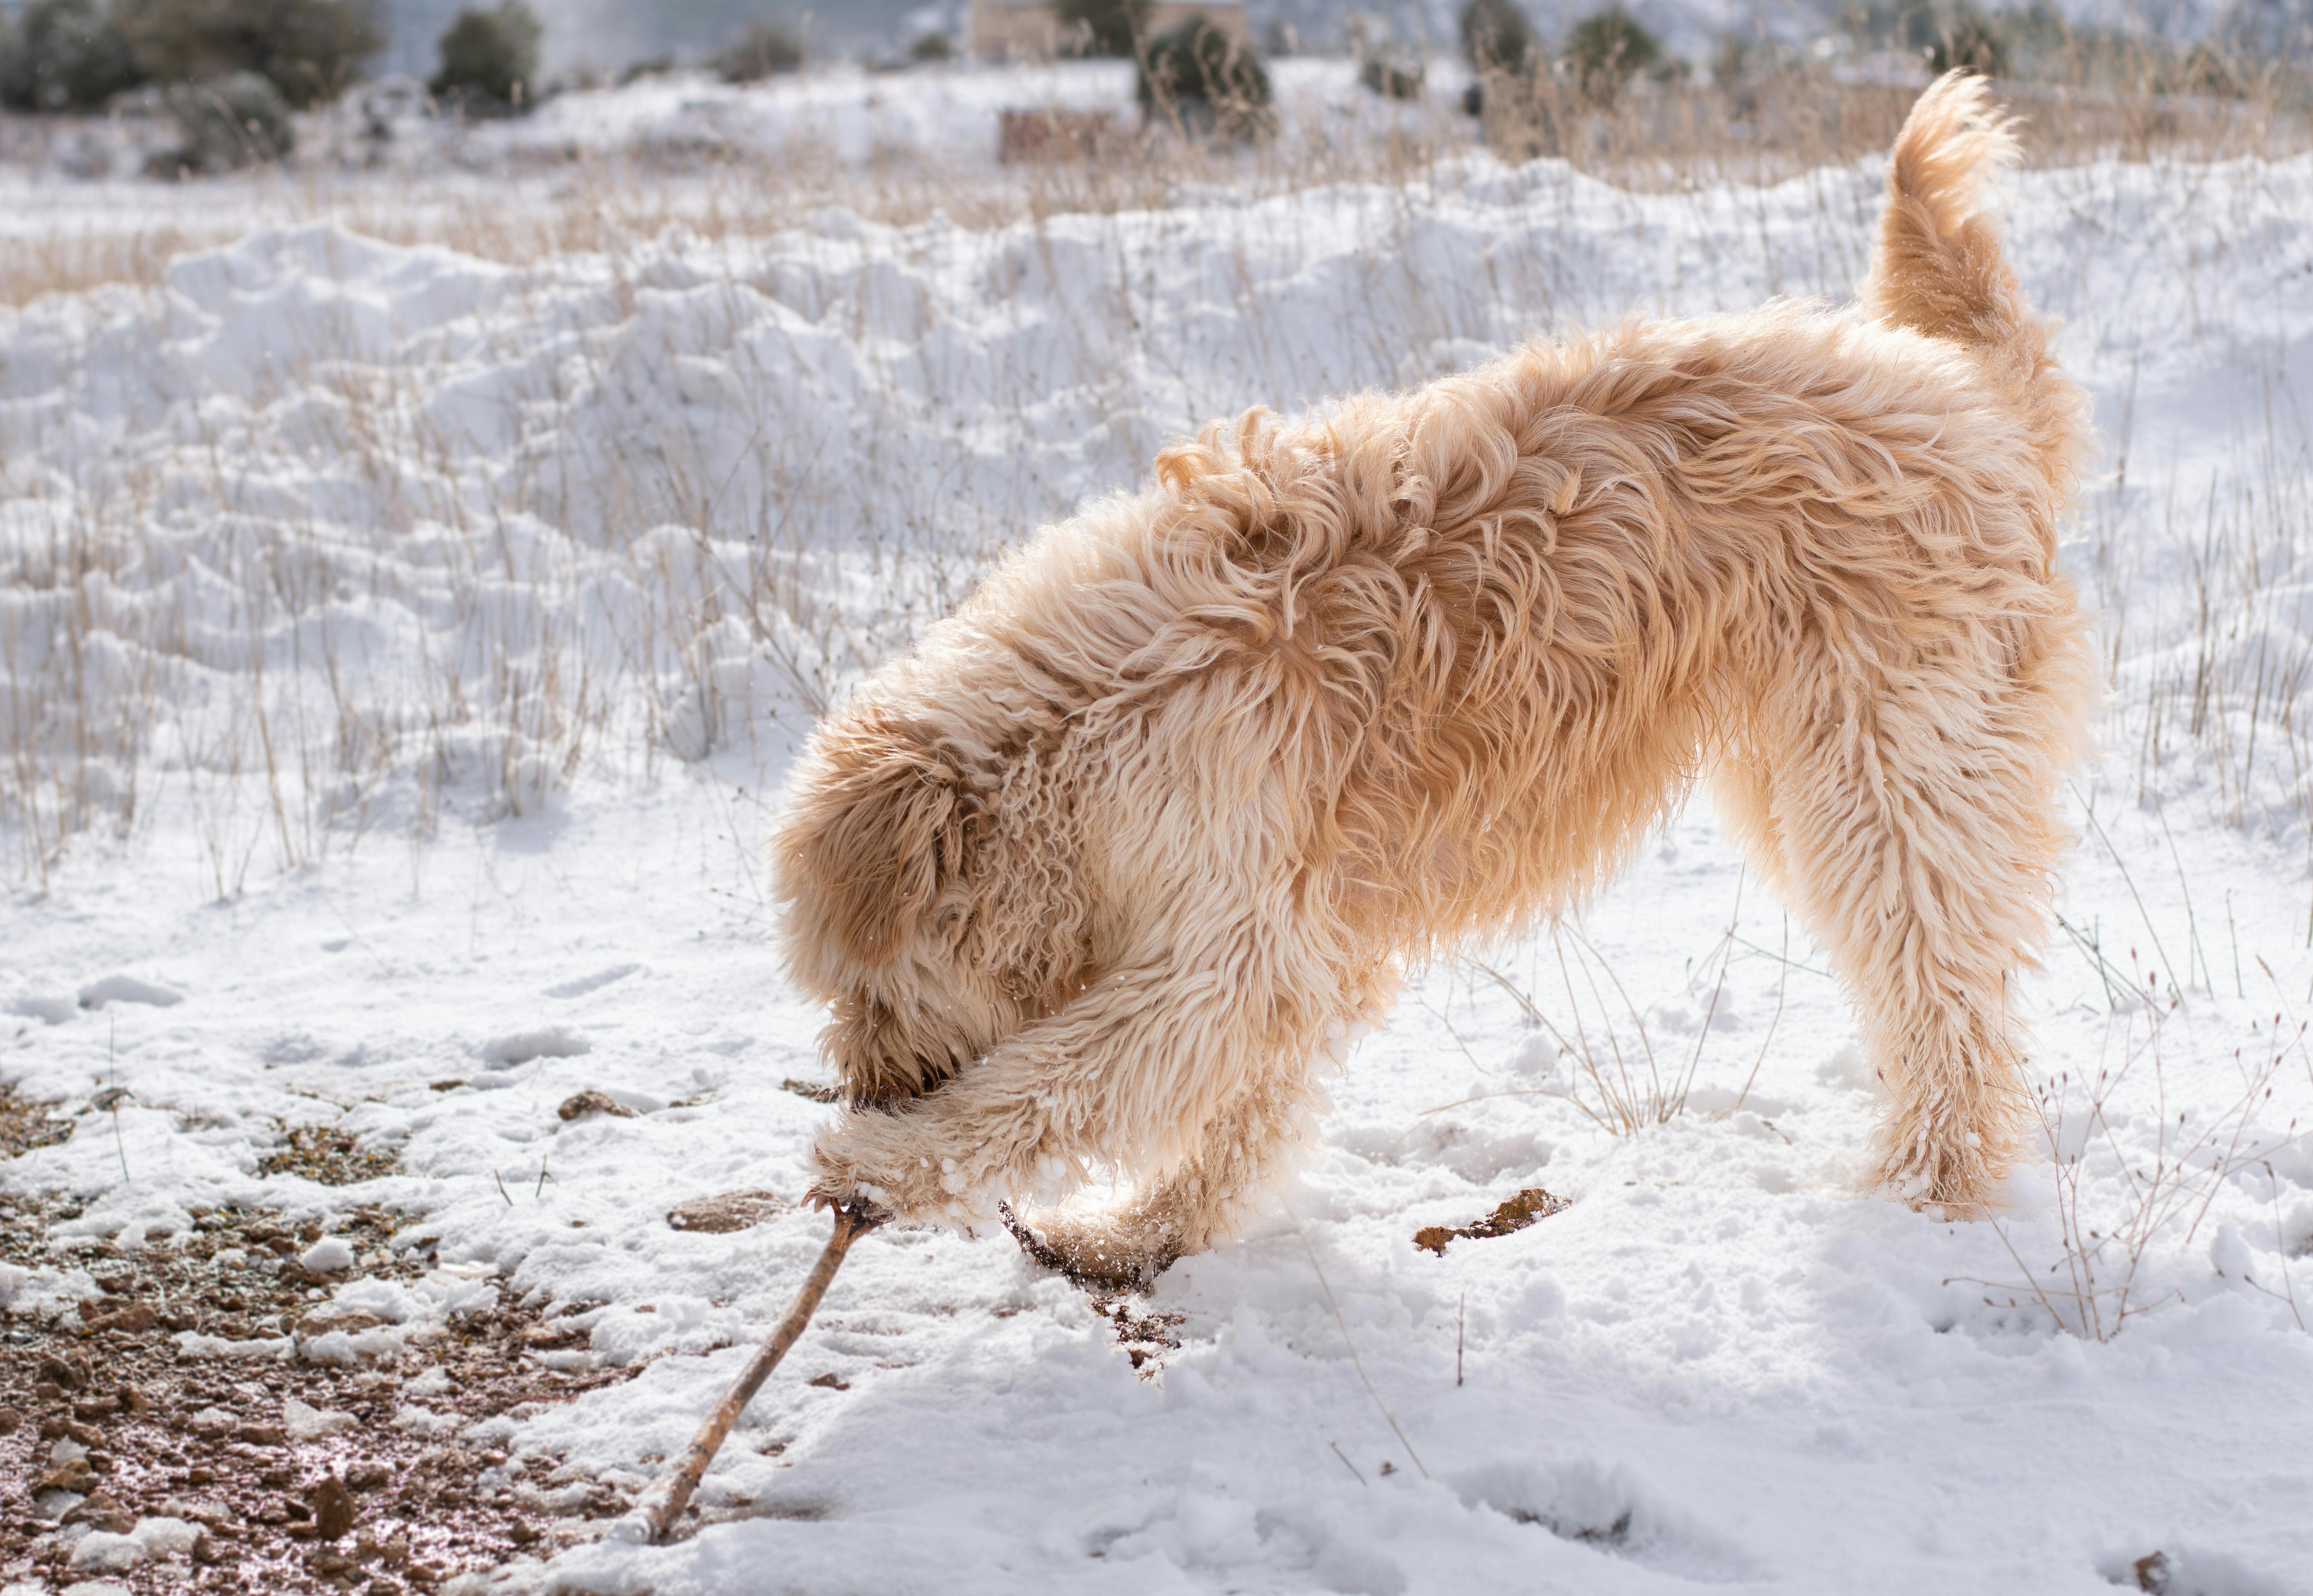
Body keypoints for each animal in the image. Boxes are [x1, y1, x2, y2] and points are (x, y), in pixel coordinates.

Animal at [773, 77, 2100, 1277]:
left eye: (865, 983)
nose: (869, 1082)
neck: (1089, 715)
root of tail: (1975, 402)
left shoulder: (1225, 947)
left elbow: (1059, 1077)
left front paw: (880, 1164)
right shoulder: (1292, 942)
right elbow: (1239, 1111)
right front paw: (1144, 1231)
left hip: (1891, 774)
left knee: (1945, 992)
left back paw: (1927, 1184)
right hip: (1811, 772)